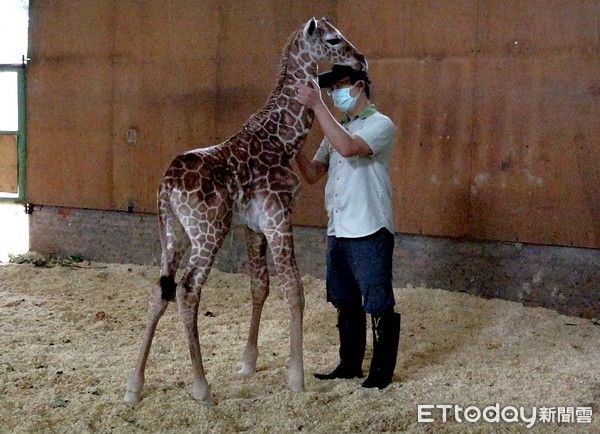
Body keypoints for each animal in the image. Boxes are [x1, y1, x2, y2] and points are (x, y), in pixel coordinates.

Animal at [123, 16, 366, 404]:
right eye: (333, 40)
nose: (361, 60)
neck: (282, 140)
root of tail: (166, 185)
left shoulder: (252, 226)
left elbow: (260, 286)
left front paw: (248, 362)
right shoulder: (279, 215)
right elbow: (294, 289)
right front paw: (296, 378)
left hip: (173, 233)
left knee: (159, 291)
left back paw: (134, 386)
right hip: (209, 232)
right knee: (187, 290)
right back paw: (202, 389)